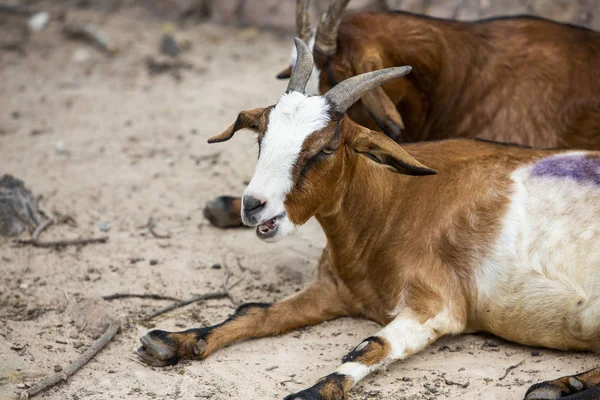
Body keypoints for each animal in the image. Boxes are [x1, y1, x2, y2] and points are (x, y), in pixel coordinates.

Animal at [138, 39, 600, 400]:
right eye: (261, 137)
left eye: (326, 148)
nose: (254, 205)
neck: (391, 206)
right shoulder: (334, 291)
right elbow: (257, 311)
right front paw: (172, 341)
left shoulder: (438, 305)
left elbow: (369, 346)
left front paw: (309, 393)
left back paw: (558, 386)